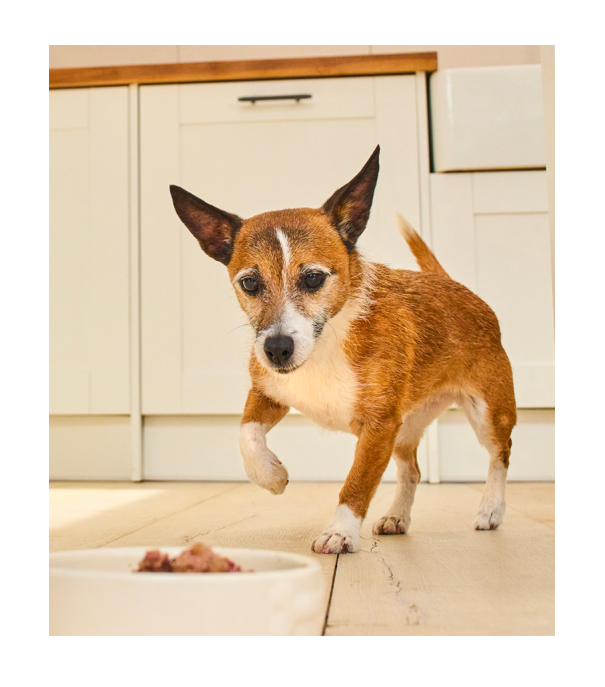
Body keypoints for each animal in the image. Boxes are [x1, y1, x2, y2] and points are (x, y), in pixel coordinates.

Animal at [169, 148, 516, 556]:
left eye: (313, 278)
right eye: (250, 283)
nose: (276, 350)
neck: (326, 342)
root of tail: (453, 285)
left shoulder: (378, 428)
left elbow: (357, 484)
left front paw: (340, 532)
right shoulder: (268, 394)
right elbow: (247, 435)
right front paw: (271, 476)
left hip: (488, 413)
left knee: (499, 455)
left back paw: (491, 509)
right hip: (405, 430)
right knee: (411, 470)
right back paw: (397, 516)